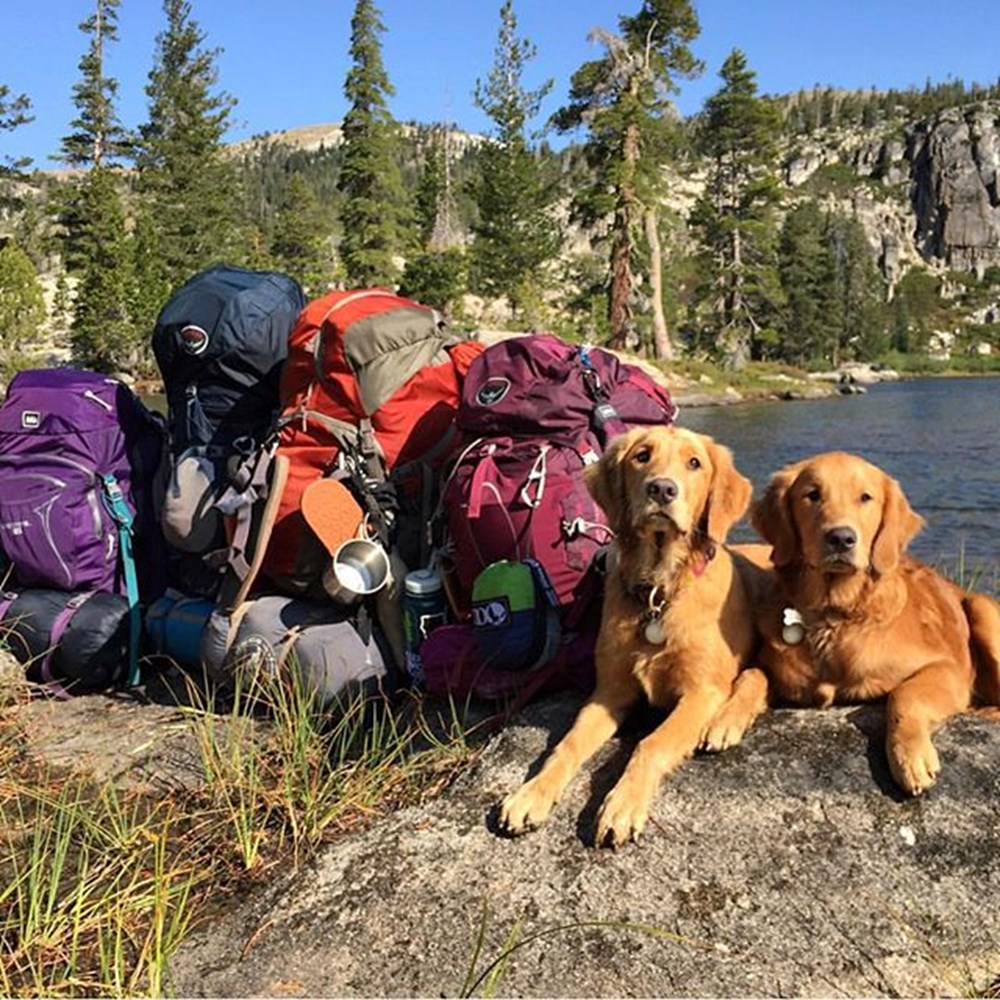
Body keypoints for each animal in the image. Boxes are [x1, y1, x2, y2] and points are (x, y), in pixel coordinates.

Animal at [498, 426, 764, 848]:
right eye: (642, 456)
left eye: (694, 463)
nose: (662, 489)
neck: (658, 593)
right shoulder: (608, 692)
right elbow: (567, 745)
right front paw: (532, 793)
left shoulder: (701, 691)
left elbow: (650, 743)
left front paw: (622, 805)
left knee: (758, 676)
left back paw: (724, 724)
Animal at [752, 454, 1000, 796]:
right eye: (812, 494)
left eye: (865, 497)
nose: (841, 538)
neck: (834, 613)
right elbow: (752, 675)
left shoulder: (948, 668)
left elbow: (904, 695)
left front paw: (909, 757)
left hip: (981, 608)